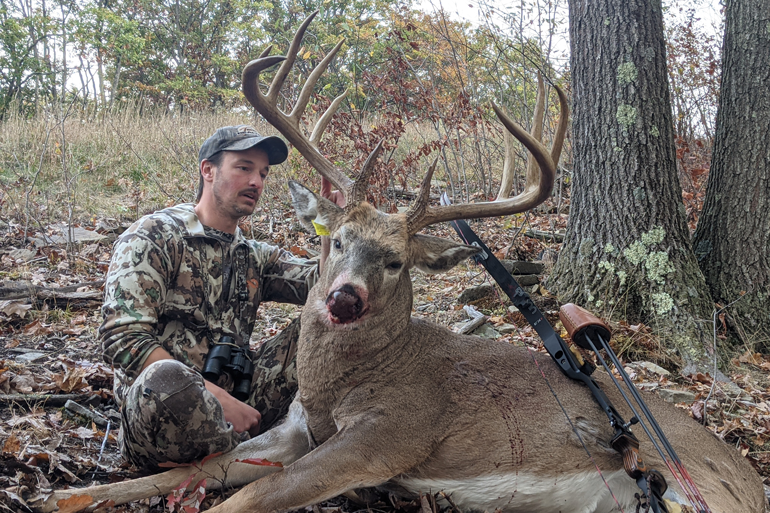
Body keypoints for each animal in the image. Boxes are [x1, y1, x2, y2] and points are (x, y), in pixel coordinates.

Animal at [31, 11, 760, 512]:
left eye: (396, 262)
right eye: (334, 239)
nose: (343, 297)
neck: (342, 385)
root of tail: (751, 471)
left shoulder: (388, 436)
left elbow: (236, 501)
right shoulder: (297, 429)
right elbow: (192, 469)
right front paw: (58, 495)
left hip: (704, 492)